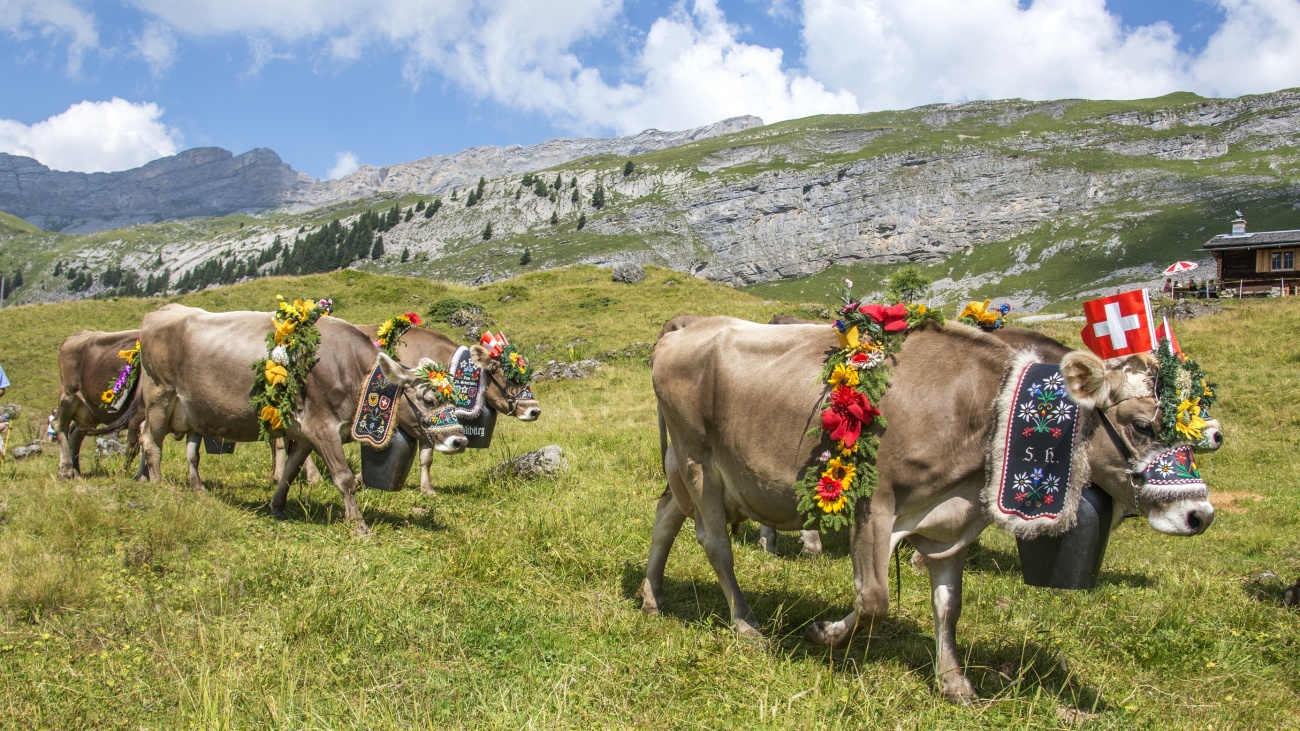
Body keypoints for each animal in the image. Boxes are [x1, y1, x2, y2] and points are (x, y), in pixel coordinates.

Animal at [55, 329, 145, 478]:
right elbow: (135, 445)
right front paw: (129, 473)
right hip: (68, 395)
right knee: (60, 425)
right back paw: (66, 470)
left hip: (90, 412)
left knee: (76, 435)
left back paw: (76, 473)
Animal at [141, 301, 467, 528]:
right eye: (428, 399)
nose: (460, 441)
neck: (351, 371)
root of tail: (160, 312)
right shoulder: (323, 428)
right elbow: (344, 478)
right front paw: (358, 525)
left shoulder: (306, 434)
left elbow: (289, 471)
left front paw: (277, 507)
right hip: (160, 397)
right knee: (151, 442)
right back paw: (158, 487)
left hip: (188, 411)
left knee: (182, 448)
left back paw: (195, 489)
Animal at [644, 314, 1211, 702]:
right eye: (1142, 426)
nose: (1199, 514)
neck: (972, 408)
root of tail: (690, 325)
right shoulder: (874, 503)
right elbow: (874, 599)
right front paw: (826, 634)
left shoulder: (953, 521)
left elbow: (948, 605)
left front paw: (954, 681)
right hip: (699, 462)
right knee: (715, 546)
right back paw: (746, 624)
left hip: (686, 471)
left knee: (665, 516)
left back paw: (652, 597)